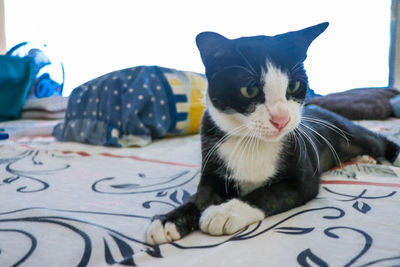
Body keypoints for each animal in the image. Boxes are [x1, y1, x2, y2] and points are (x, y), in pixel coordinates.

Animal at [145, 22, 400, 245]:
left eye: (294, 86)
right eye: (249, 89)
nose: (281, 119)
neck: (252, 142)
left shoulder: (303, 180)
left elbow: (267, 193)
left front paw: (224, 212)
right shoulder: (212, 163)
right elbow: (200, 197)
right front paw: (169, 220)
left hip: (348, 131)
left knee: (377, 141)